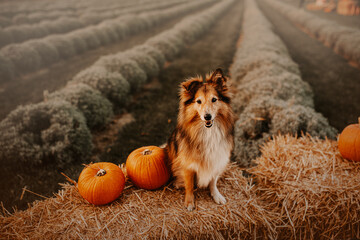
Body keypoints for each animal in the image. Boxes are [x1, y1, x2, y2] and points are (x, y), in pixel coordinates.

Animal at [167, 67, 236, 210]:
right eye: (198, 101)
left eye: (214, 99)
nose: (207, 117)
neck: (208, 132)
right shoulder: (187, 164)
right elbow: (189, 185)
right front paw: (189, 202)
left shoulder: (216, 159)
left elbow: (213, 181)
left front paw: (216, 195)